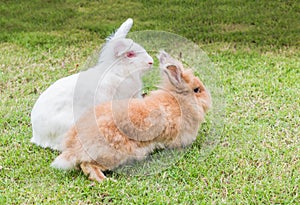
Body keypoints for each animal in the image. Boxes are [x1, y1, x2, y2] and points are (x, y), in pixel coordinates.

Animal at [51, 50, 211, 182]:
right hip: (114, 155)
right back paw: (106, 180)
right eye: (197, 90)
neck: (180, 101)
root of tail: (74, 147)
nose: (209, 99)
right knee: (87, 166)